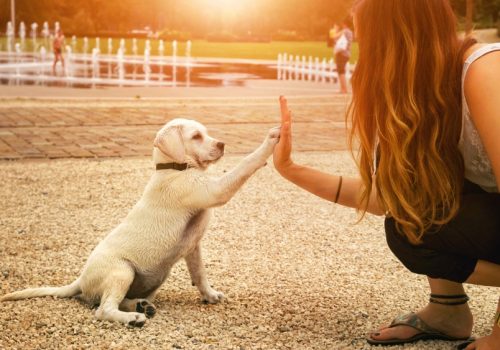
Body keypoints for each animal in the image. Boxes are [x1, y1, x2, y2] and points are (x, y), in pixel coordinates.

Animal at [0, 119, 280, 326]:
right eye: (196, 137)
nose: (222, 144)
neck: (174, 168)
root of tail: (81, 279)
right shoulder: (214, 190)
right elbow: (245, 164)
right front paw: (271, 141)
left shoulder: (193, 246)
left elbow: (199, 274)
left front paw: (210, 295)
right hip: (122, 270)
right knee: (103, 309)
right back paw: (133, 317)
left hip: (152, 279)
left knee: (114, 300)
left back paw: (141, 306)